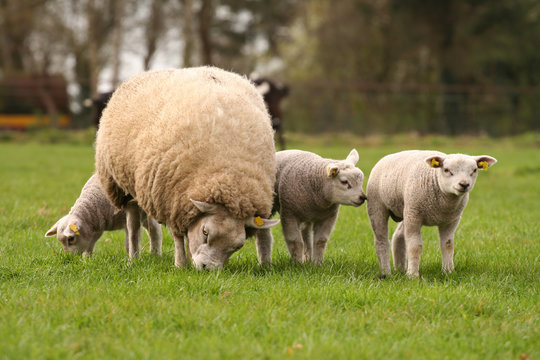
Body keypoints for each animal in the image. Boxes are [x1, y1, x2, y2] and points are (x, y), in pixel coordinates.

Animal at [95, 67, 278, 270]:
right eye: (205, 232)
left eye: (237, 247)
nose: (207, 269)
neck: (229, 174)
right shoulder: (172, 200)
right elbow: (177, 237)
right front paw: (180, 264)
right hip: (122, 187)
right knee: (133, 225)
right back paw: (133, 258)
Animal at [368, 149, 498, 278]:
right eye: (446, 170)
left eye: (474, 170)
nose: (464, 184)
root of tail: (387, 156)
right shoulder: (414, 216)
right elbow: (415, 246)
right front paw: (412, 275)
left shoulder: (451, 220)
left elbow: (448, 245)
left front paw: (448, 271)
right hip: (378, 206)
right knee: (381, 241)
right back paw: (386, 272)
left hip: (407, 208)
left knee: (398, 236)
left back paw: (400, 269)